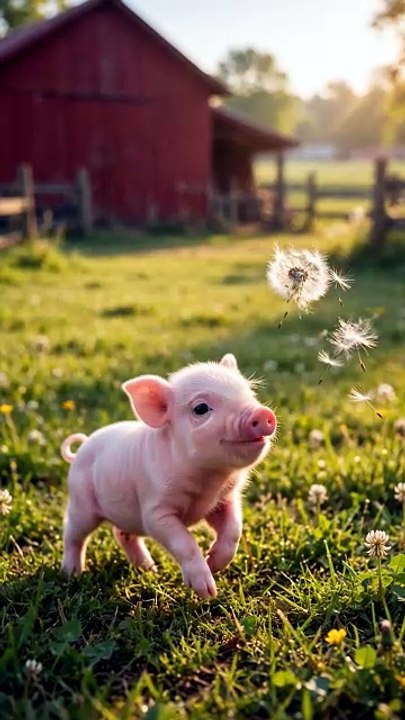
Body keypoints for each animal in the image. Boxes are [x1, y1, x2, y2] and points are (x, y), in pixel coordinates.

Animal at [60, 354, 276, 599]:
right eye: (201, 408)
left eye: (250, 393)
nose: (262, 413)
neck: (207, 481)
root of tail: (83, 446)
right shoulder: (156, 512)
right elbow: (184, 542)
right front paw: (207, 591)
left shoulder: (224, 500)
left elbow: (233, 530)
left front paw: (214, 564)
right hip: (81, 503)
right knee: (72, 532)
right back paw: (72, 573)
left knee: (121, 533)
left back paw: (149, 569)